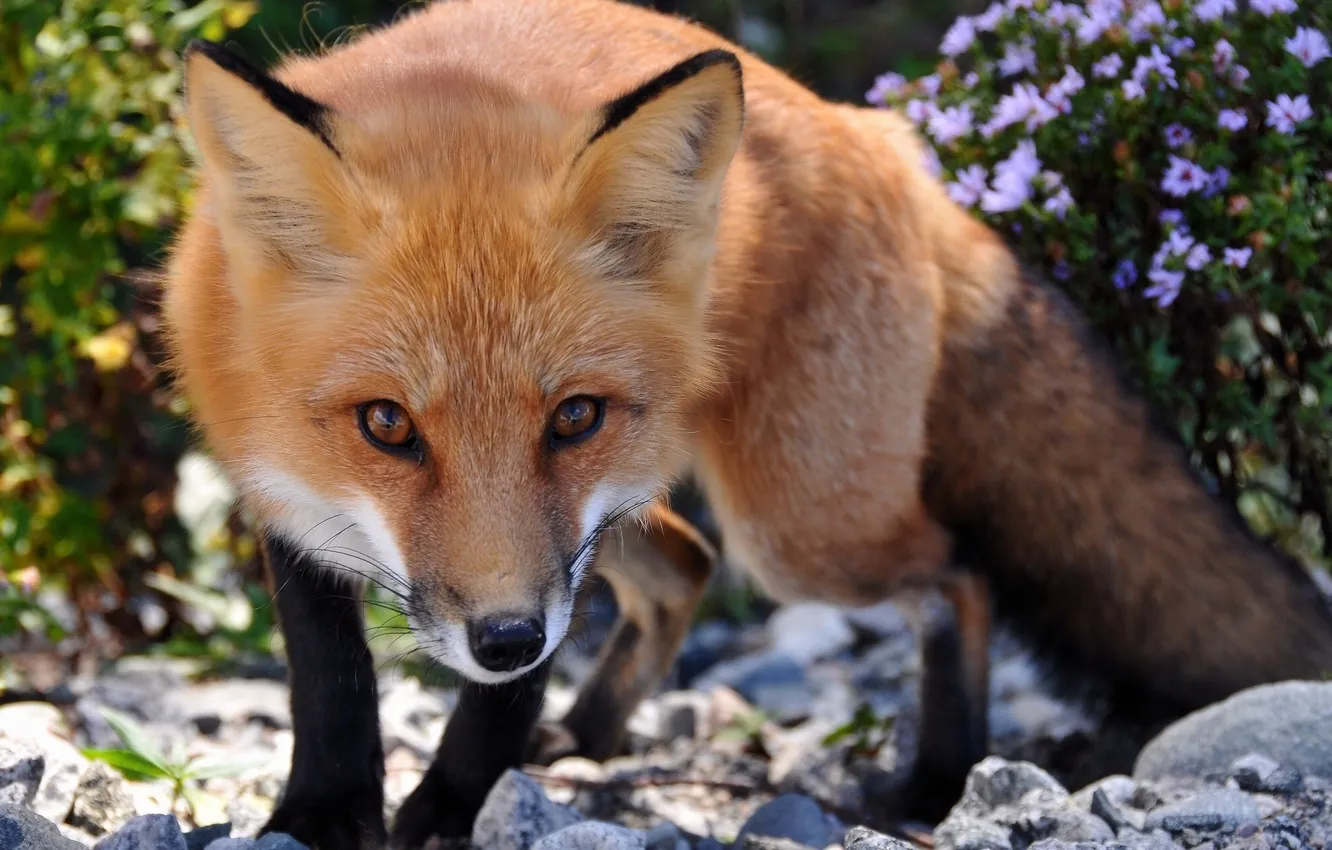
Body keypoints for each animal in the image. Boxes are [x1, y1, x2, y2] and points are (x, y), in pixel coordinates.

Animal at [158, 1, 1332, 850]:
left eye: (571, 415)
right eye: (387, 425)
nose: (502, 638)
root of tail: (881, 136)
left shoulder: (551, 556)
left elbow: (492, 697)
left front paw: (450, 806)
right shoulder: (282, 486)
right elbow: (329, 676)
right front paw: (321, 813)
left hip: (798, 525)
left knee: (956, 576)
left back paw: (935, 778)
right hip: (652, 513)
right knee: (685, 566)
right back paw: (589, 735)